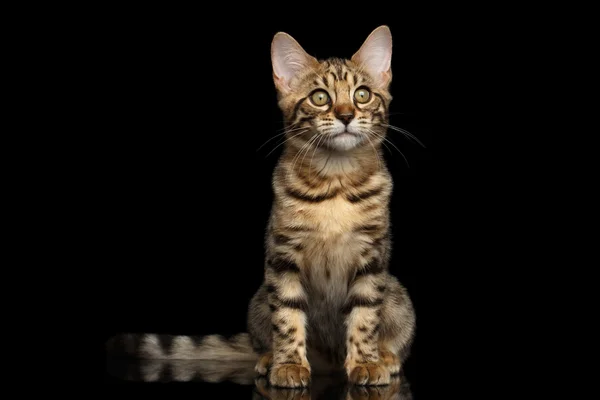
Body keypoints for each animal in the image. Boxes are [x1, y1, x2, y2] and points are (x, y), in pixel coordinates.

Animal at [105, 24, 414, 388]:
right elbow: (287, 316)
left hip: (398, 298)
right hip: (259, 300)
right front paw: (289, 364)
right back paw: (269, 358)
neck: (334, 184)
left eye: (362, 95)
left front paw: (366, 362)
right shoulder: (282, 257)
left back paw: (386, 357)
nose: (346, 115)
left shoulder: (372, 258)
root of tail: (329, 362)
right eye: (320, 97)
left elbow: (365, 316)